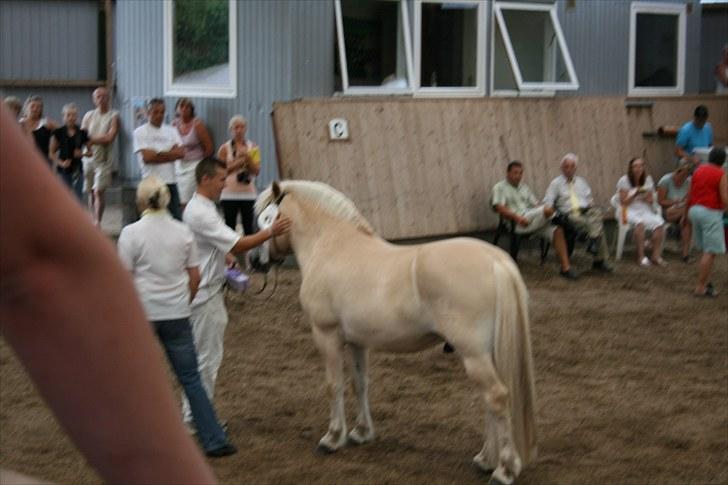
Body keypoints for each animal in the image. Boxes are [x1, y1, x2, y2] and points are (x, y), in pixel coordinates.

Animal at [255, 180, 536, 482]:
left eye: (266, 218)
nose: (256, 261)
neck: (330, 245)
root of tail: (496, 260)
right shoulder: (357, 341)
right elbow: (359, 383)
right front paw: (361, 432)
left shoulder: (326, 335)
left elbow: (334, 385)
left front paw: (332, 438)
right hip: (486, 354)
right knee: (489, 402)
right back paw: (485, 459)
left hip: (474, 355)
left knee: (496, 397)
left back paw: (504, 470)